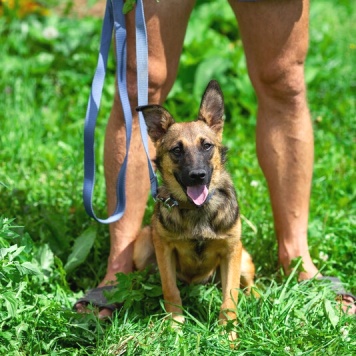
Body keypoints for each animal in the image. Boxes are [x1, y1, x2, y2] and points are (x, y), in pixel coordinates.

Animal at [133, 79, 253, 332]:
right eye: (177, 150)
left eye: (207, 146)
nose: (197, 176)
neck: (198, 211)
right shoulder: (164, 248)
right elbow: (170, 289)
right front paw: (175, 323)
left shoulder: (232, 251)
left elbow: (230, 296)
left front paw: (227, 332)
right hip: (143, 245)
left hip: (244, 258)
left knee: (250, 285)